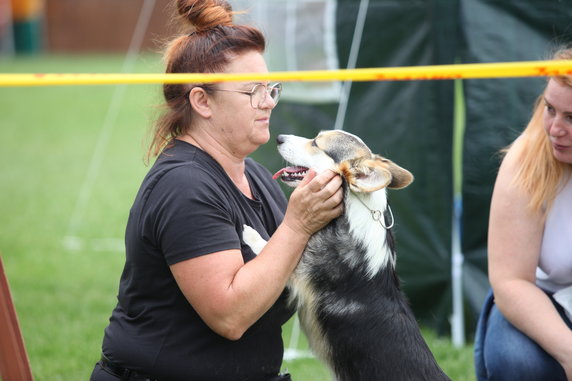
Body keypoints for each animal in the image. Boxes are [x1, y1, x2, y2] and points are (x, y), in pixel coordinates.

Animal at [241, 131, 452, 380]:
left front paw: (249, 232)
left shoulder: (298, 270)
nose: (279, 137)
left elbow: (269, 245)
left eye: (316, 143)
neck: (355, 205)